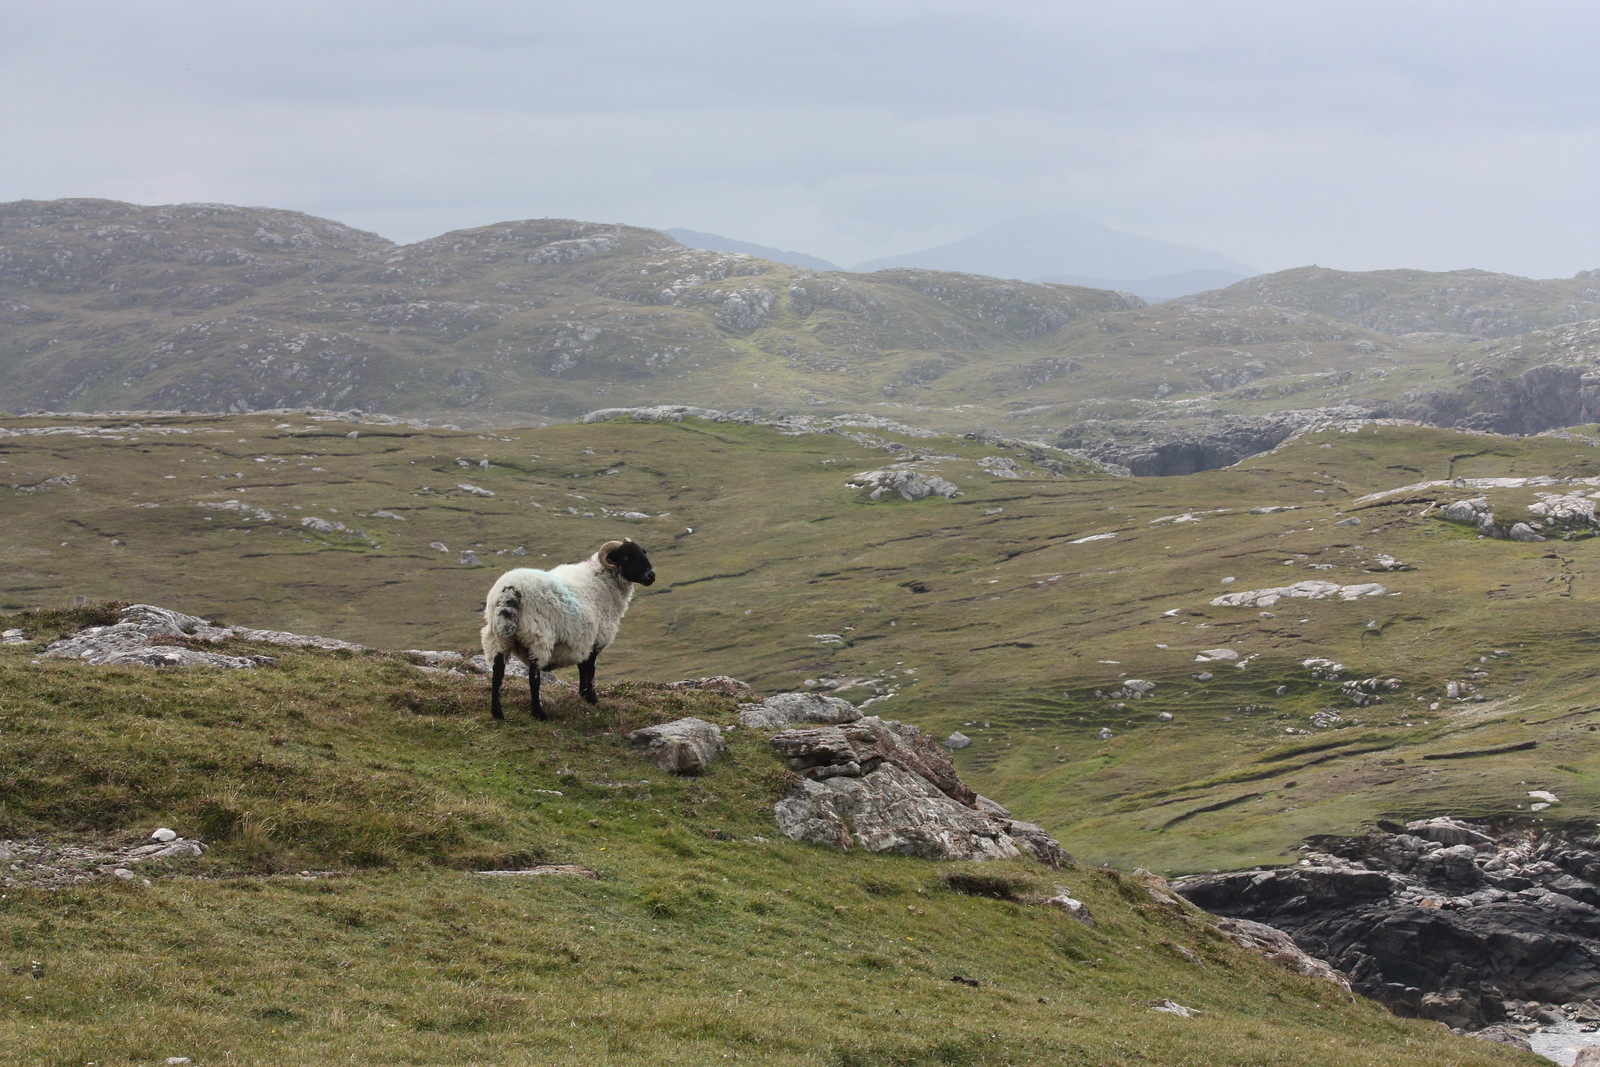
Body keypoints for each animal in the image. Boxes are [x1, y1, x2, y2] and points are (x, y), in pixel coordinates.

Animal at [480, 538, 657, 721]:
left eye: (643, 552)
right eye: (627, 556)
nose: (651, 575)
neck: (603, 583)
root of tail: (510, 590)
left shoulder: (582, 641)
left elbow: (582, 668)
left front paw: (583, 696)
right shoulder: (595, 640)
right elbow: (590, 671)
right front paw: (592, 699)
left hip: (497, 636)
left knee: (497, 672)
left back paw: (497, 712)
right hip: (538, 635)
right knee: (534, 676)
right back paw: (539, 713)